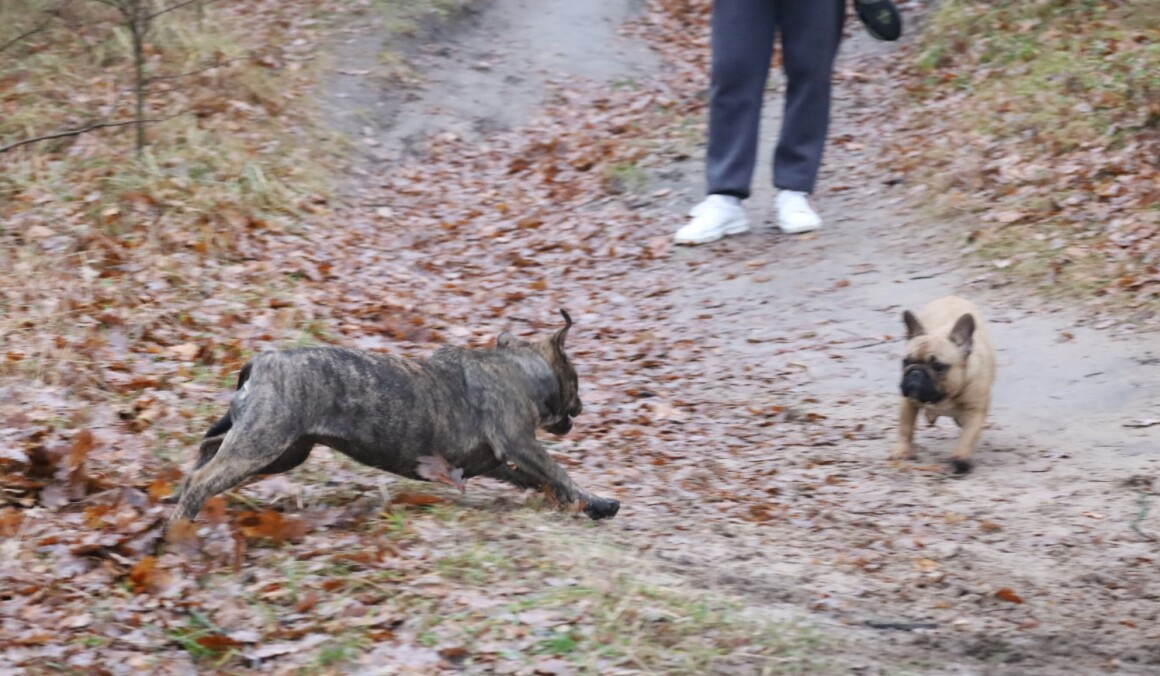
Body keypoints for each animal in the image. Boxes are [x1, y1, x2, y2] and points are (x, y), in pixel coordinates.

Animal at [168, 310, 620, 524]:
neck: (520, 369)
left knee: (209, 449)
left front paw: (582, 505)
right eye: (576, 379)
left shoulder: (500, 462)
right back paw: (181, 523)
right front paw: (595, 502)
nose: (582, 407)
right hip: (263, 442)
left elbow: (543, 481)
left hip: (282, 449)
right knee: (204, 478)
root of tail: (262, 361)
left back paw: (179, 492)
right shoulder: (521, 444)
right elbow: (559, 472)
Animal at [892, 296, 996, 473]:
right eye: (906, 361)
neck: (945, 397)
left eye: (938, 366)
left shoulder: (975, 412)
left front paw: (960, 458)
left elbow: (967, 436)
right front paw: (903, 451)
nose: (915, 372)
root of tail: (951, 296)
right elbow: (905, 428)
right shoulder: (908, 402)